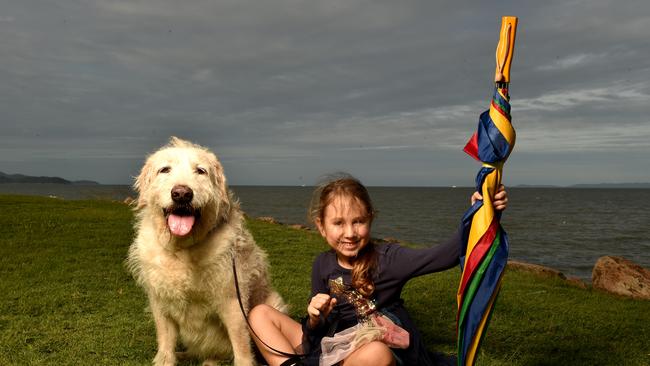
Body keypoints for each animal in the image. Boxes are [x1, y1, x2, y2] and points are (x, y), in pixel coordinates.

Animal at [126, 137, 284, 366]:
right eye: (165, 169)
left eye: (200, 171)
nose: (182, 194)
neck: (182, 248)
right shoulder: (160, 301)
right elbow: (165, 339)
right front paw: (165, 358)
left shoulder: (232, 301)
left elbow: (241, 345)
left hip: (271, 304)